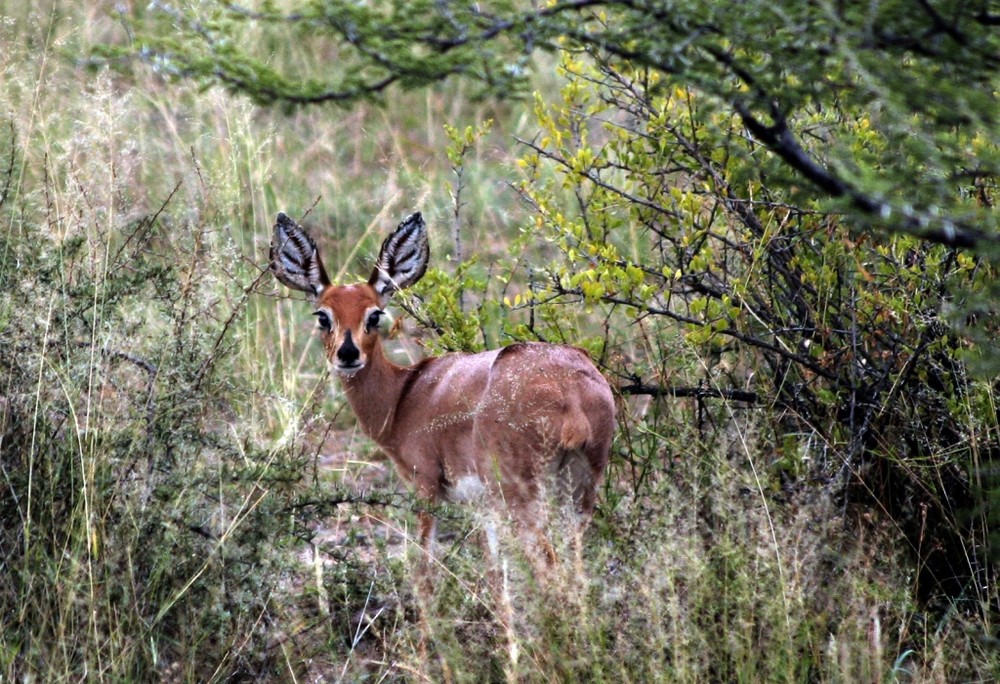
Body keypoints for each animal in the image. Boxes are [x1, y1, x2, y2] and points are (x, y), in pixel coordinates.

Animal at [274, 211, 616, 564]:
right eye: (323, 315)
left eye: (374, 315)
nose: (348, 353)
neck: (403, 397)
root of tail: (570, 395)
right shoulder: (485, 508)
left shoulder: (426, 484)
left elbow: (424, 561)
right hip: (579, 492)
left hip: (521, 492)